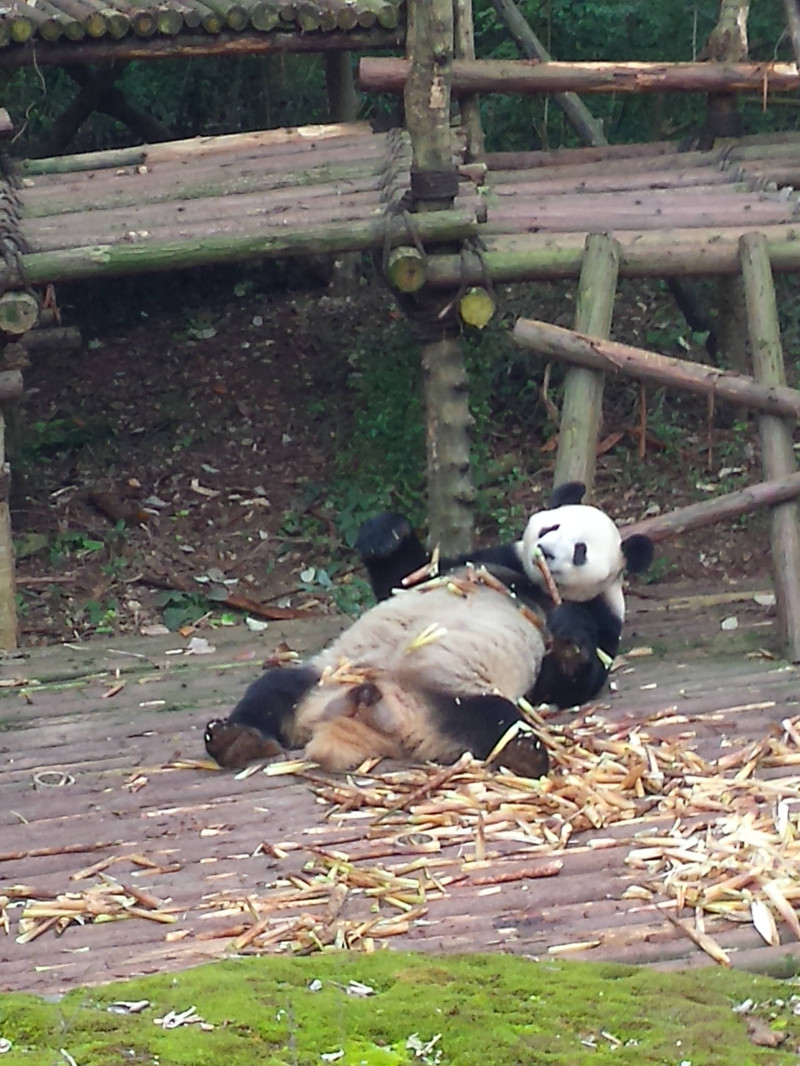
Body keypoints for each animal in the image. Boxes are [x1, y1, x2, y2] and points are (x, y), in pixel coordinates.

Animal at [204, 483, 652, 776]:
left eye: (581, 551)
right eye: (550, 528)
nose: (546, 552)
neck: (534, 582)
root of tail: (375, 710)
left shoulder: (601, 614)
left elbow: (567, 682)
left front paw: (569, 636)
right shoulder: (482, 560)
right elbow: (405, 577)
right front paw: (385, 533)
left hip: (455, 699)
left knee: (496, 720)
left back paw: (523, 753)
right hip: (328, 675)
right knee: (274, 690)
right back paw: (236, 738)